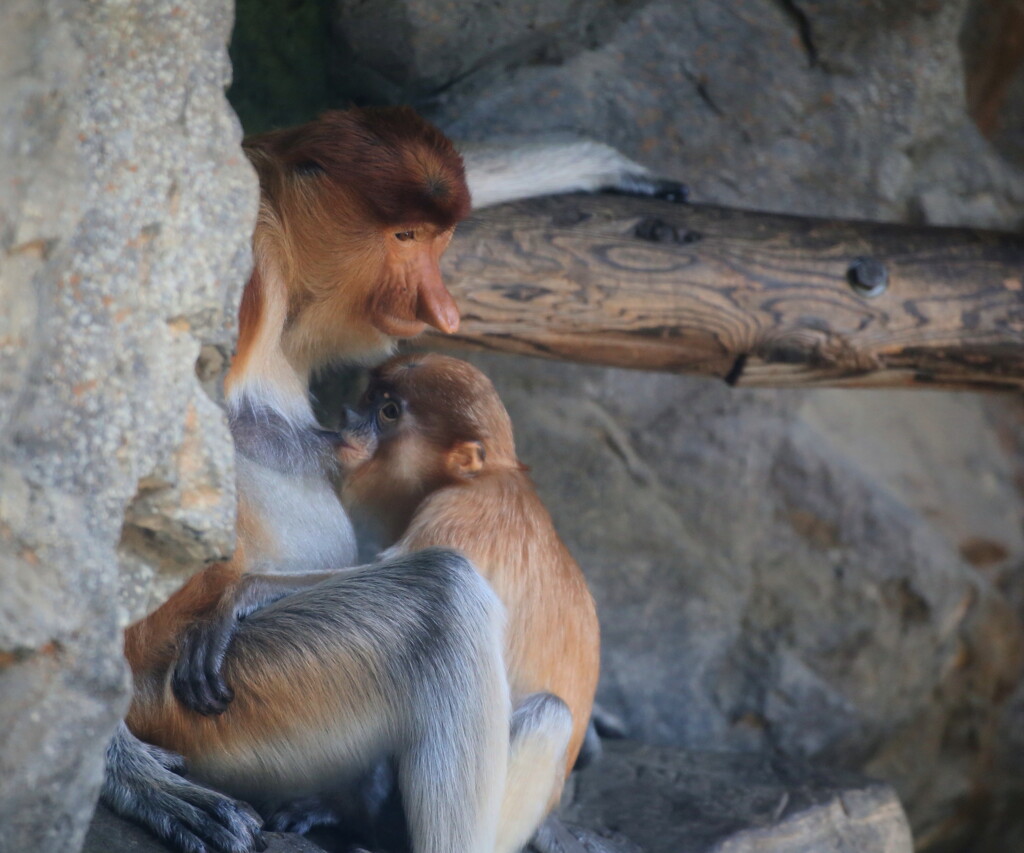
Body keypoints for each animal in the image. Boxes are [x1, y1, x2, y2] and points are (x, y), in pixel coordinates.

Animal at [335, 352, 598, 851]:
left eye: (389, 412)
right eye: (369, 397)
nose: (345, 420)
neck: (489, 475)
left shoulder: (457, 517)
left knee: (549, 715)